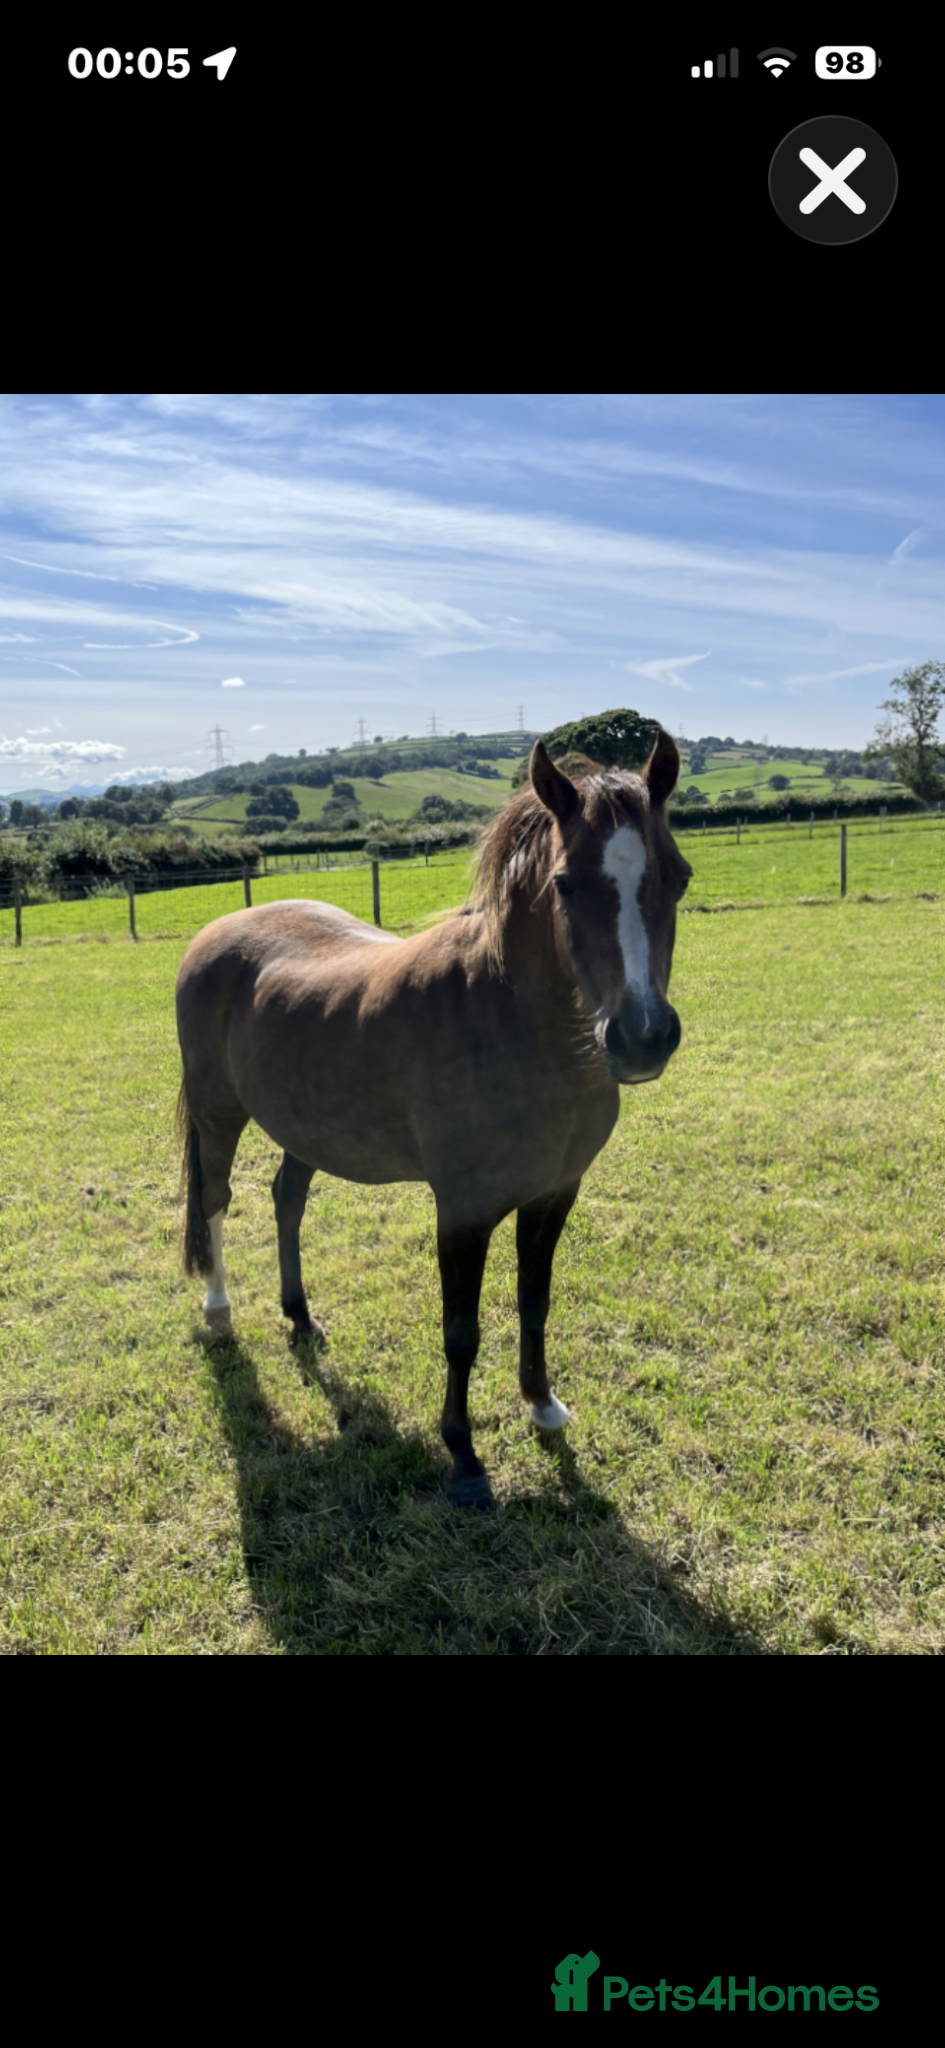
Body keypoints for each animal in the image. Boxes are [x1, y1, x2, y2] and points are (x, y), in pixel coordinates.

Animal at [175, 731, 692, 1506]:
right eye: (565, 885)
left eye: (679, 878)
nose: (642, 1038)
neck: (513, 1026)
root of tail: (216, 933)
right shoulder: (463, 1210)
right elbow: (461, 1330)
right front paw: (464, 1457)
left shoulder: (553, 1196)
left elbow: (534, 1303)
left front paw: (542, 1407)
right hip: (217, 1116)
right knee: (215, 1200)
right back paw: (218, 1309)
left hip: (304, 1126)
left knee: (286, 1201)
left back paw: (300, 1317)